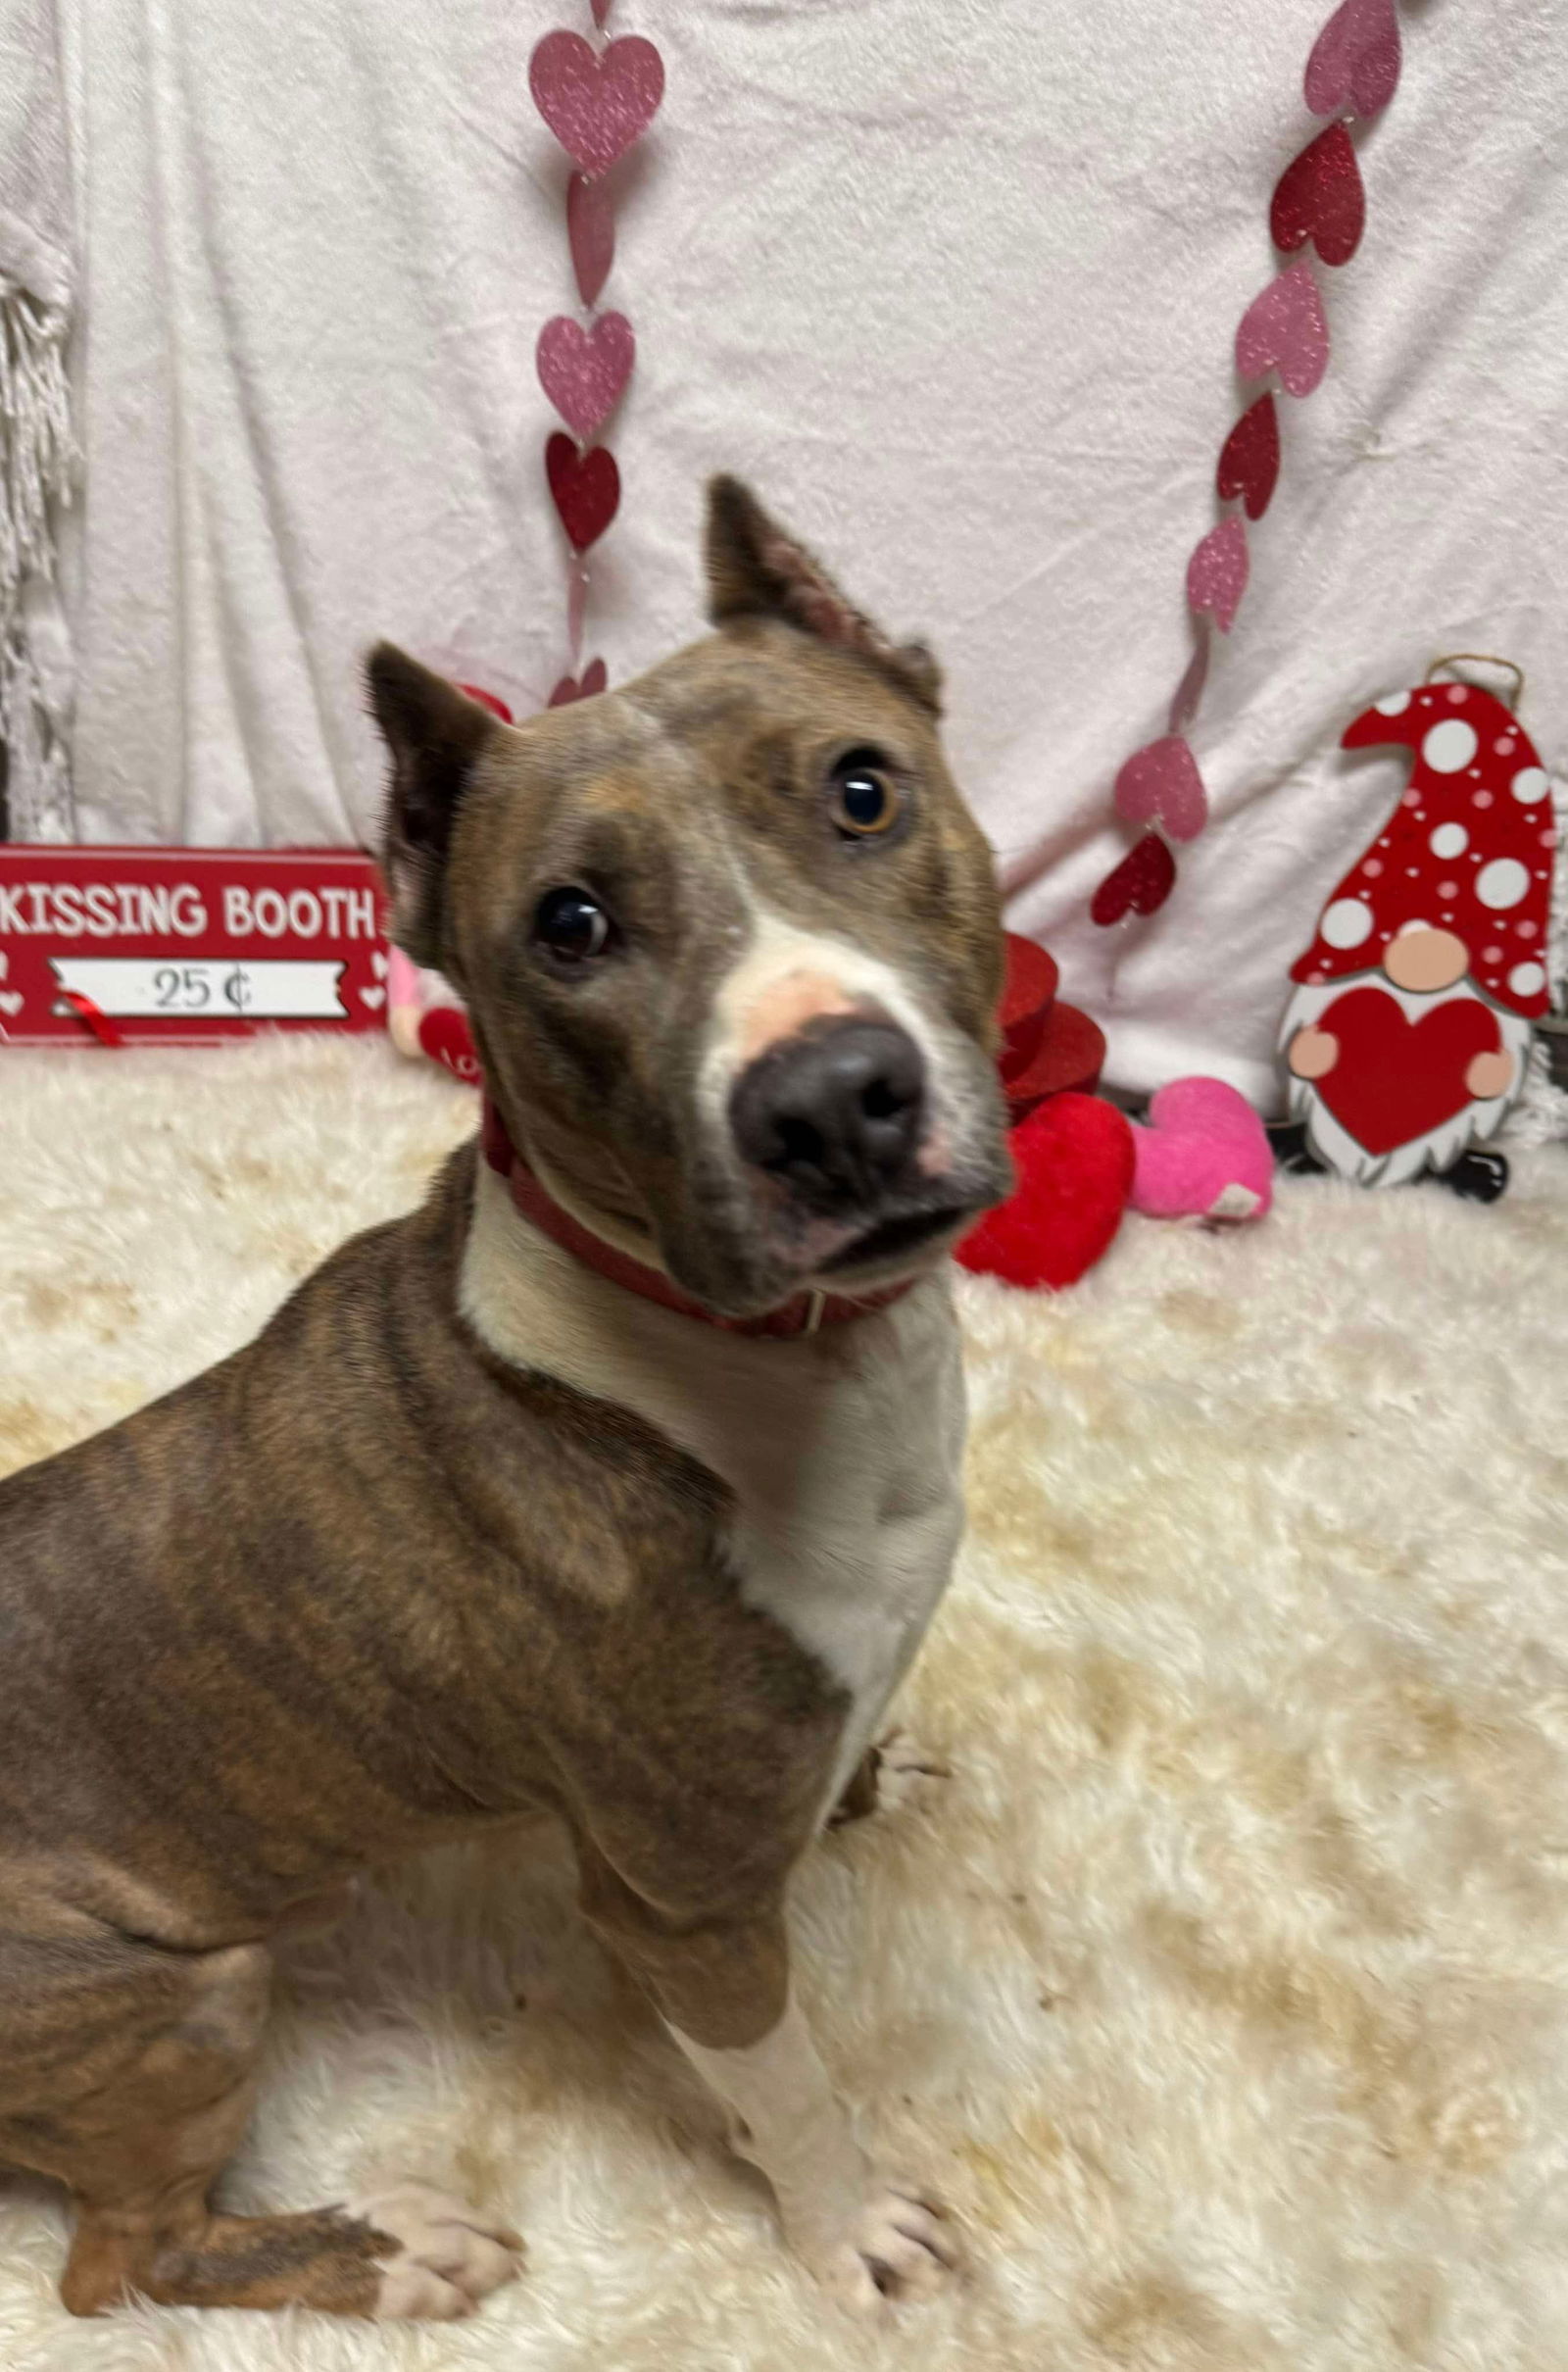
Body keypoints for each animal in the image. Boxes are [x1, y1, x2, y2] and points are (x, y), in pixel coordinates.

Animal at [0, 476, 1001, 2314]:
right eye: (572, 924)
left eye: (862, 789)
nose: (830, 1101)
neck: (763, 1365)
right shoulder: (685, 1914)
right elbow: (793, 2091)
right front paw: (845, 2236)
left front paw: (873, 1786)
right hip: (176, 1998)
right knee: (120, 2264)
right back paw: (393, 2250)